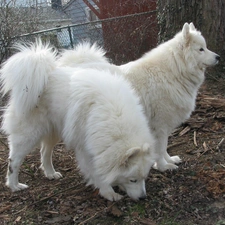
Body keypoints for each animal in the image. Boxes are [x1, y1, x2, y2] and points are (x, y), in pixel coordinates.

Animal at [0, 41, 156, 201]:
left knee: (45, 152)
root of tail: (46, 73)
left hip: (54, 131)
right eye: (133, 180)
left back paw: (50, 173)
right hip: (29, 135)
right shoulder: (85, 150)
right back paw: (14, 185)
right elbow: (98, 174)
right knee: (14, 161)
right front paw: (109, 192)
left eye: (144, 177)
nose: (143, 197)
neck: (114, 115)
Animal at [58, 22, 220, 171]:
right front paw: (163, 166)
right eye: (201, 49)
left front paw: (169, 160)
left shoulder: (164, 125)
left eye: (205, 47)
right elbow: (160, 148)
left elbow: (164, 147)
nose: (218, 57)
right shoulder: (159, 125)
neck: (174, 71)